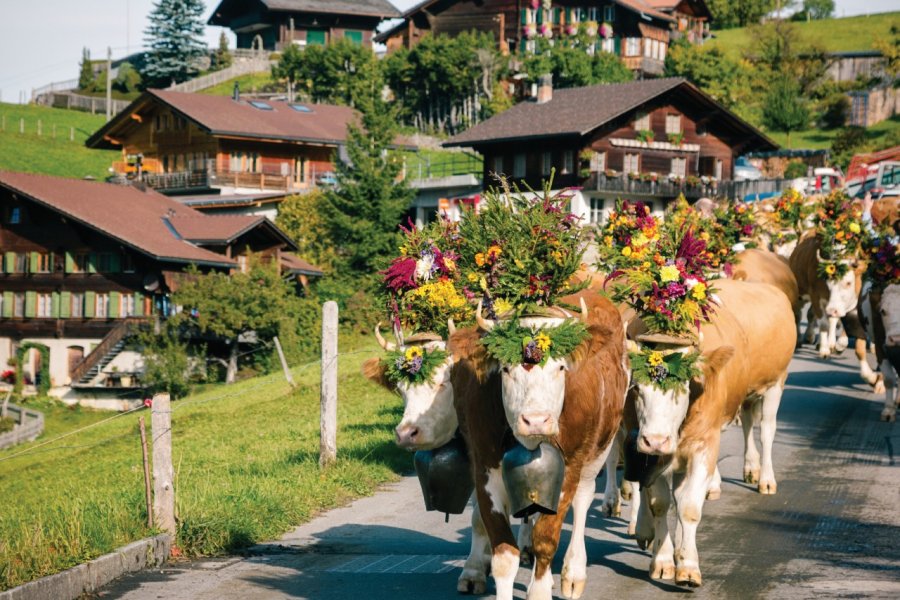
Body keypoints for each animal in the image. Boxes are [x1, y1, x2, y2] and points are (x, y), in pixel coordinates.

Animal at [474, 288, 628, 596]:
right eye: (505, 369)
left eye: (560, 368)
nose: (535, 421)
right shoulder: (485, 470)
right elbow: (503, 555)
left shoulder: (570, 467)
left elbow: (547, 537)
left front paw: (540, 590)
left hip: (597, 452)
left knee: (583, 499)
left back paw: (573, 573)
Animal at [624, 282, 796, 584]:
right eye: (637, 389)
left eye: (682, 390)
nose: (655, 440)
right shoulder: (652, 451)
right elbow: (660, 502)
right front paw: (664, 559)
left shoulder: (705, 444)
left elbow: (689, 507)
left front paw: (688, 565)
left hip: (776, 382)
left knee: (765, 429)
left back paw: (764, 477)